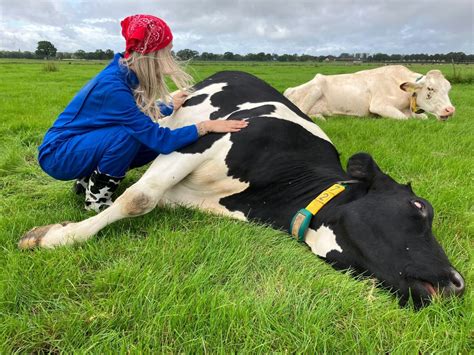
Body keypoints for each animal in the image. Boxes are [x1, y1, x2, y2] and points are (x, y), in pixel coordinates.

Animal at [286, 66, 456, 121]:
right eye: (430, 89)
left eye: (448, 89)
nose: (450, 110)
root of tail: (289, 89)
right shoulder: (379, 105)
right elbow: (404, 118)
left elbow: (424, 117)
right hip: (316, 88)